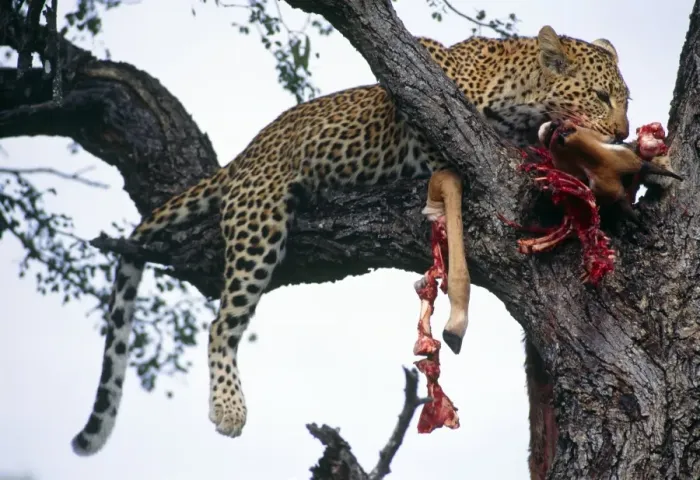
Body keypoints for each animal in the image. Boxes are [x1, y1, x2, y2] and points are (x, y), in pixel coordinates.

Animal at [71, 25, 631, 479]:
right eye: (602, 96)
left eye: (625, 99)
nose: (625, 131)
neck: (515, 95)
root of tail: (244, 156)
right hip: (259, 221)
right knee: (221, 322)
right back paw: (229, 408)